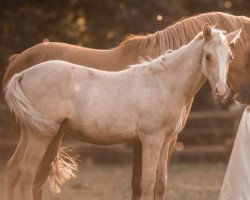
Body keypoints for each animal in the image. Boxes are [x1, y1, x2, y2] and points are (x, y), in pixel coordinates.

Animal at [2, 11, 250, 199]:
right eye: (208, 56)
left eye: (230, 57)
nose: (221, 91)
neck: (164, 82)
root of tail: (22, 74)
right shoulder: (150, 140)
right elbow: (147, 183)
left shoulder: (166, 140)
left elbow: (160, 183)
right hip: (41, 136)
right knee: (27, 175)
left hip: (30, 132)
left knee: (13, 170)